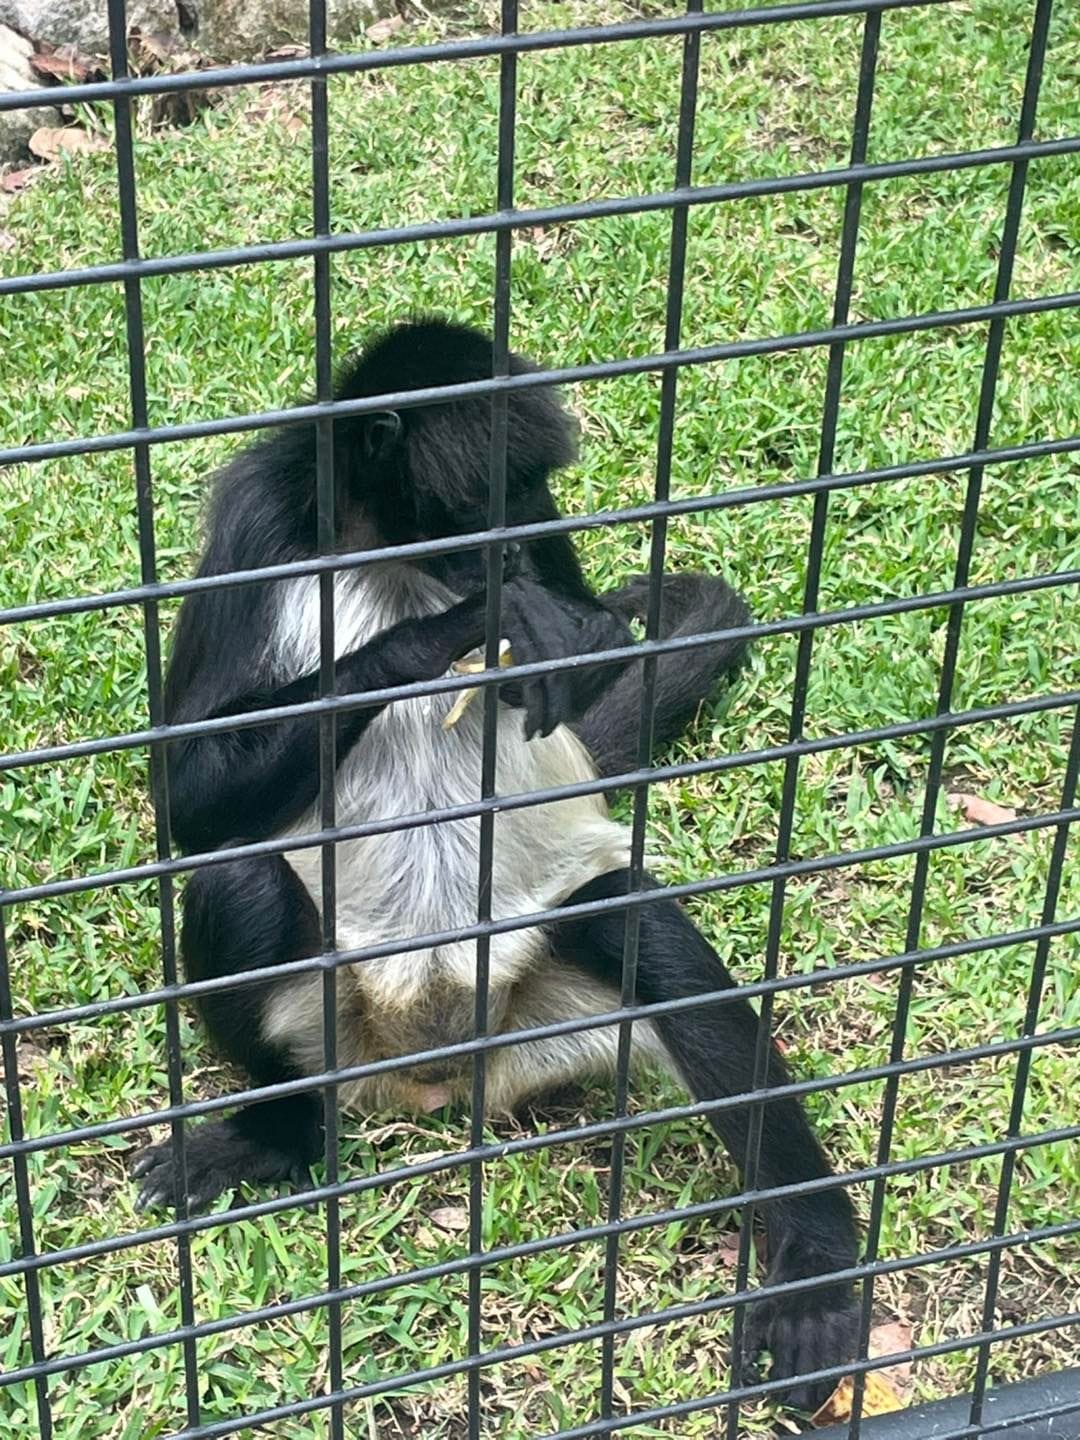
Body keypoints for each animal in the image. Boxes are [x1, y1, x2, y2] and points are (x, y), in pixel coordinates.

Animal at [133, 315, 864, 1405]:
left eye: (532, 493)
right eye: (487, 497)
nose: (515, 537)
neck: (386, 547)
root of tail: (433, 1062)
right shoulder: (256, 522)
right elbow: (184, 798)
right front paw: (453, 627)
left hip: (535, 990)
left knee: (631, 918)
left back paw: (814, 1258)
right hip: (332, 1022)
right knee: (237, 877)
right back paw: (279, 1131)